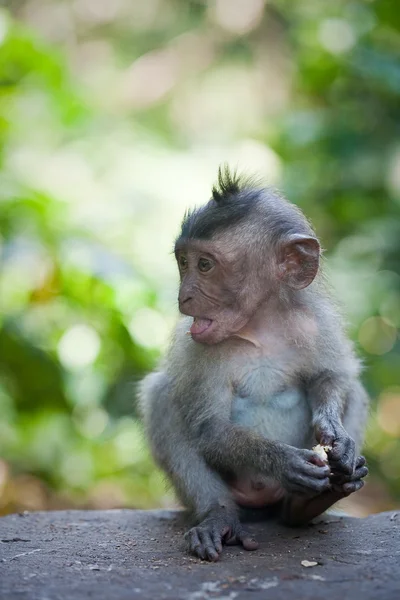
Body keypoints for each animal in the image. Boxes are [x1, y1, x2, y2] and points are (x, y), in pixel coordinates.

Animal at [140, 166, 368, 560]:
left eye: (204, 265)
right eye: (183, 263)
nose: (185, 296)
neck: (260, 327)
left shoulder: (315, 323)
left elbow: (331, 376)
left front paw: (336, 434)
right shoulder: (198, 348)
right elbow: (211, 428)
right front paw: (283, 461)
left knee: (354, 389)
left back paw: (306, 506)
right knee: (162, 396)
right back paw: (219, 516)